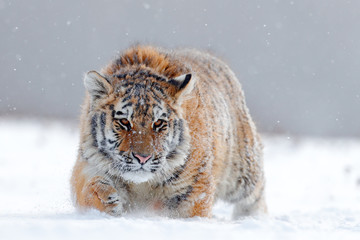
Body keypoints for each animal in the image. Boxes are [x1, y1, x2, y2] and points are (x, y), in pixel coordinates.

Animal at [71, 44, 268, 218]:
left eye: (158, 123)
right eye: (124, 122)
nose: (143, 158)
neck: (141, 185)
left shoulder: (194, 189)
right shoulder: (88, 162)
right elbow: (87, 186)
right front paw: (106, 200)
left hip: (243, 172)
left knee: (256, 194)